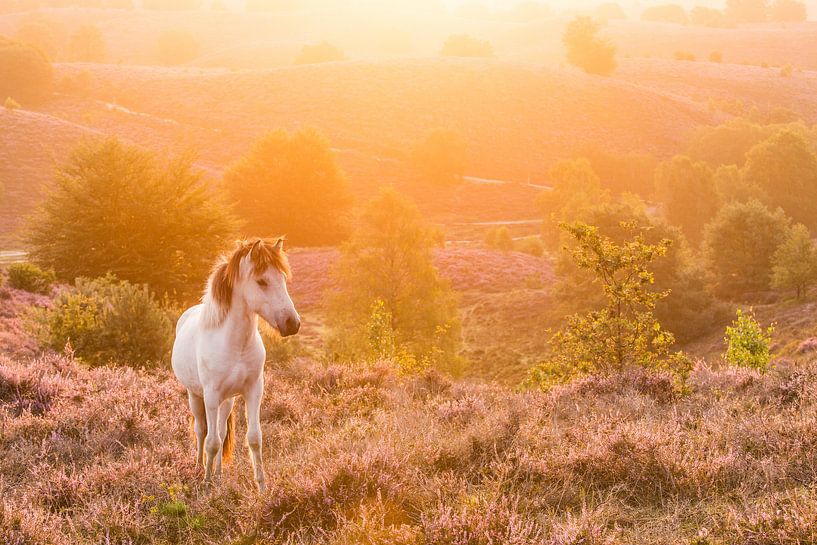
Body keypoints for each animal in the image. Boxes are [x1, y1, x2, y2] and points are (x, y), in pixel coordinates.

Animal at [171, 237, 300, 492]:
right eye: (262, 281)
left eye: (282, 278)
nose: (292, 323)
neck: (235, 344)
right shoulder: (211, 395)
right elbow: (211, 442)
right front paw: (207, 484)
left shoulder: (253, 391)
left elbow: (254, 438)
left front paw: (262, 487)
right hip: (195, 395)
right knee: (202, 431)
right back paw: (200, 468)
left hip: (227, 400)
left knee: (221, 432)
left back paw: (219, 473)